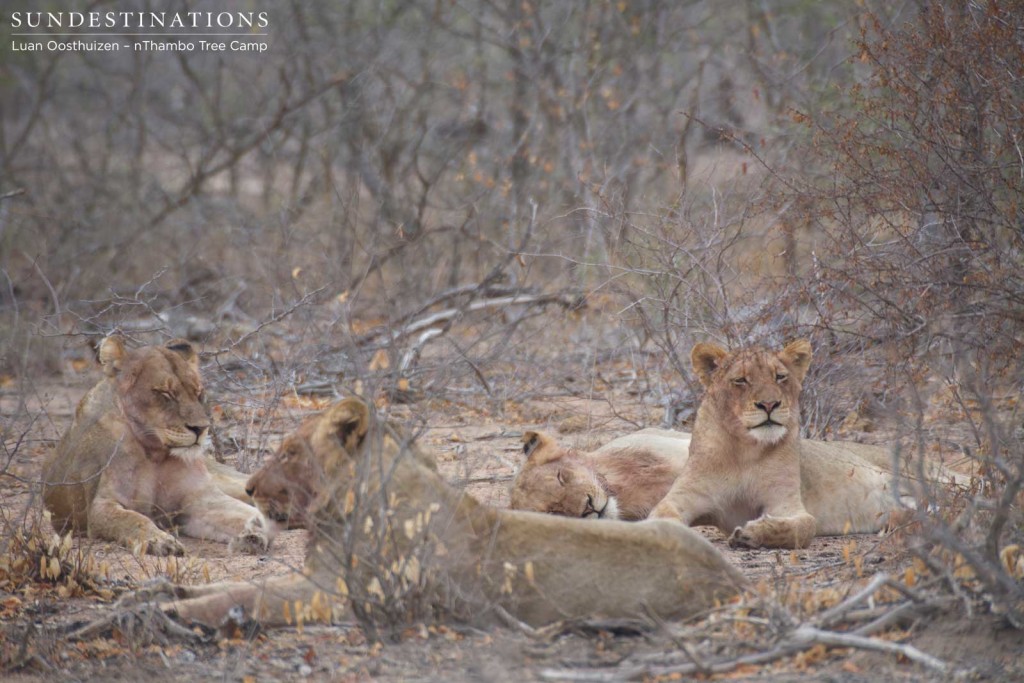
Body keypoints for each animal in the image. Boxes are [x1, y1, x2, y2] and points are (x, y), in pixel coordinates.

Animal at [41, 335, 270, 557]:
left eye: (198, 392)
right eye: (165, 393)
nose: (201, 428)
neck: (156, 454)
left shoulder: (200, 499)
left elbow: (242, 513)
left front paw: (253, 533)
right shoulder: (100, 506)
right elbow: (133, 519)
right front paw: (158, 541)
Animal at [148, 401, 745, 630]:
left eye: (290, 452)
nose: (248, 488)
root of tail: (736, 582)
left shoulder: (332, 594)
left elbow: (240, 597)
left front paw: (168, 612)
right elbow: (230, 585)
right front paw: (158, 591)